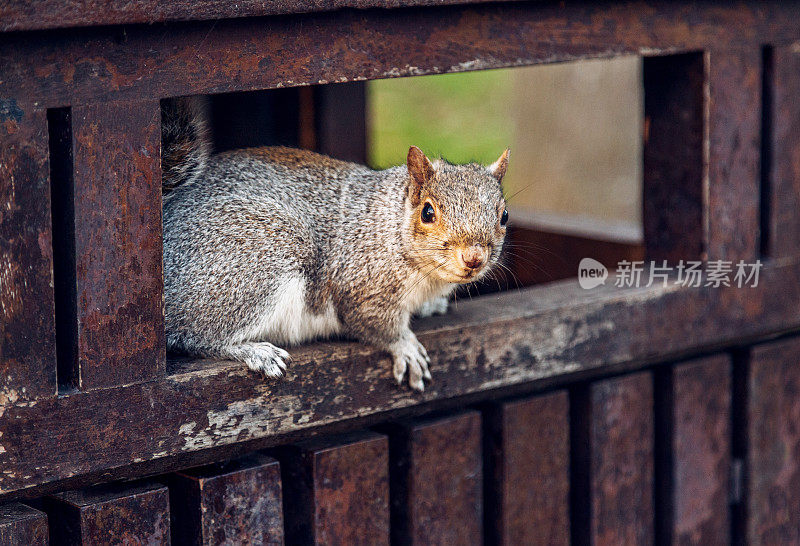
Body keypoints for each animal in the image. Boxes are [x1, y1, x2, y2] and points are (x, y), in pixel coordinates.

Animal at [162, 95, 510, 388]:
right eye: (427, 213)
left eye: (504, 215)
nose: (474, 258)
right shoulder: (362, 287)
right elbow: (375, 324)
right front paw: (406, 346)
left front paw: (433, 306)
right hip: (256, 260)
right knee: (194, 337)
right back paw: (254, 351)